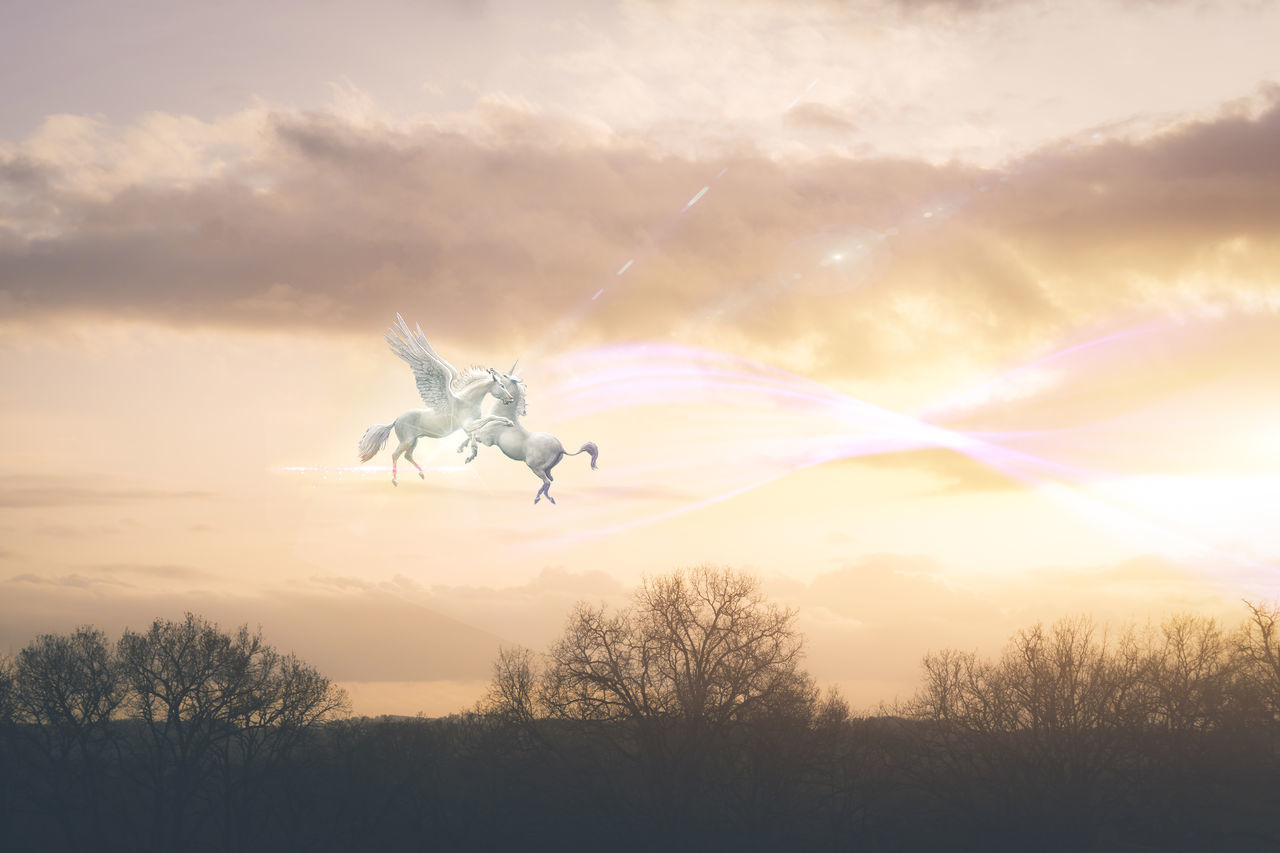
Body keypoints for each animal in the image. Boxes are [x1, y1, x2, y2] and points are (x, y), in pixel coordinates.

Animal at [355, 313, 514, 484]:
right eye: (502, 385)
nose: (510, 399)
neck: (468, 400)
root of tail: (396, 420)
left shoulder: (468, 427)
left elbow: (474, 435)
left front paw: (471, 453)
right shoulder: (468, 424)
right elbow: (490, 418)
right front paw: (509, 423)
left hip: (414, 440)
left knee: (407, 456)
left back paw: (422, 474)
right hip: (406, 440)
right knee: (395, 454)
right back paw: (395, 480)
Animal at [463, 366, 596, 502]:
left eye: (504, 377)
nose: (491, 369)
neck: (504, 415)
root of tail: (561, 448)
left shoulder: (486, 439)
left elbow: (472, 435)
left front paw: (469, 455)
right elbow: (469, 435)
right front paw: (462, 449)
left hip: (536, 468)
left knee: (547, 481)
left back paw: (538, 498)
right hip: (547, 469)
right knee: (550, 480)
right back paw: (546, 498)